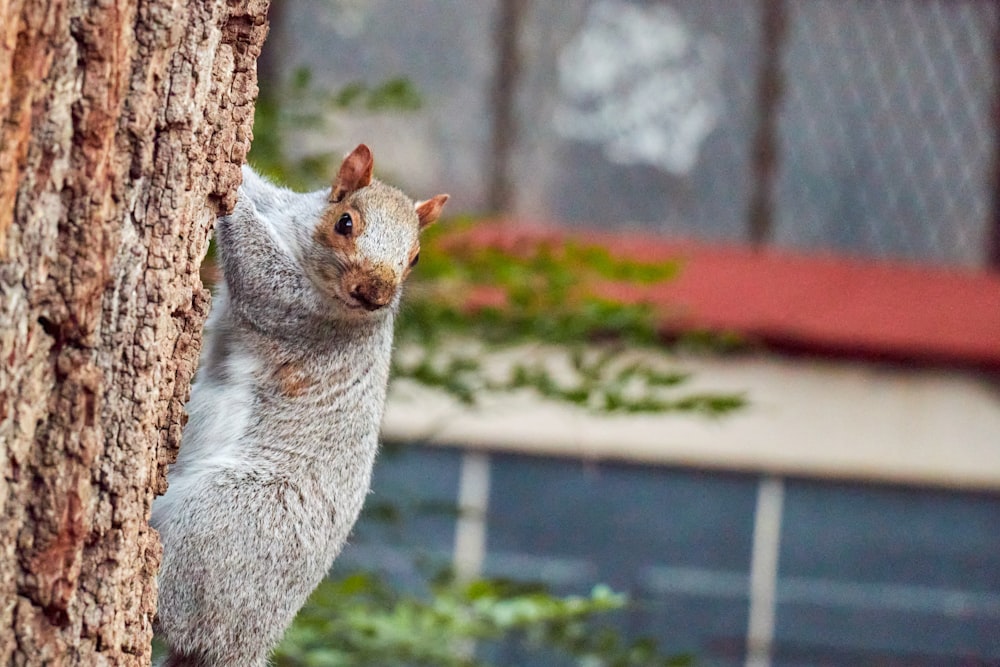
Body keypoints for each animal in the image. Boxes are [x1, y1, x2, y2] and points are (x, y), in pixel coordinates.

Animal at [150, 146, 448, 667]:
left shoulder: (298, 313)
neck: (300, 246)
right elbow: (265, 194)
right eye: (344, 222)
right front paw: (240, 169)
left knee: (176, 608)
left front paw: (229, 190)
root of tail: (241, 647)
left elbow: (256, 272)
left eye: (414, 258)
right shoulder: (285, 208)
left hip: (224, 519)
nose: (374, 294)